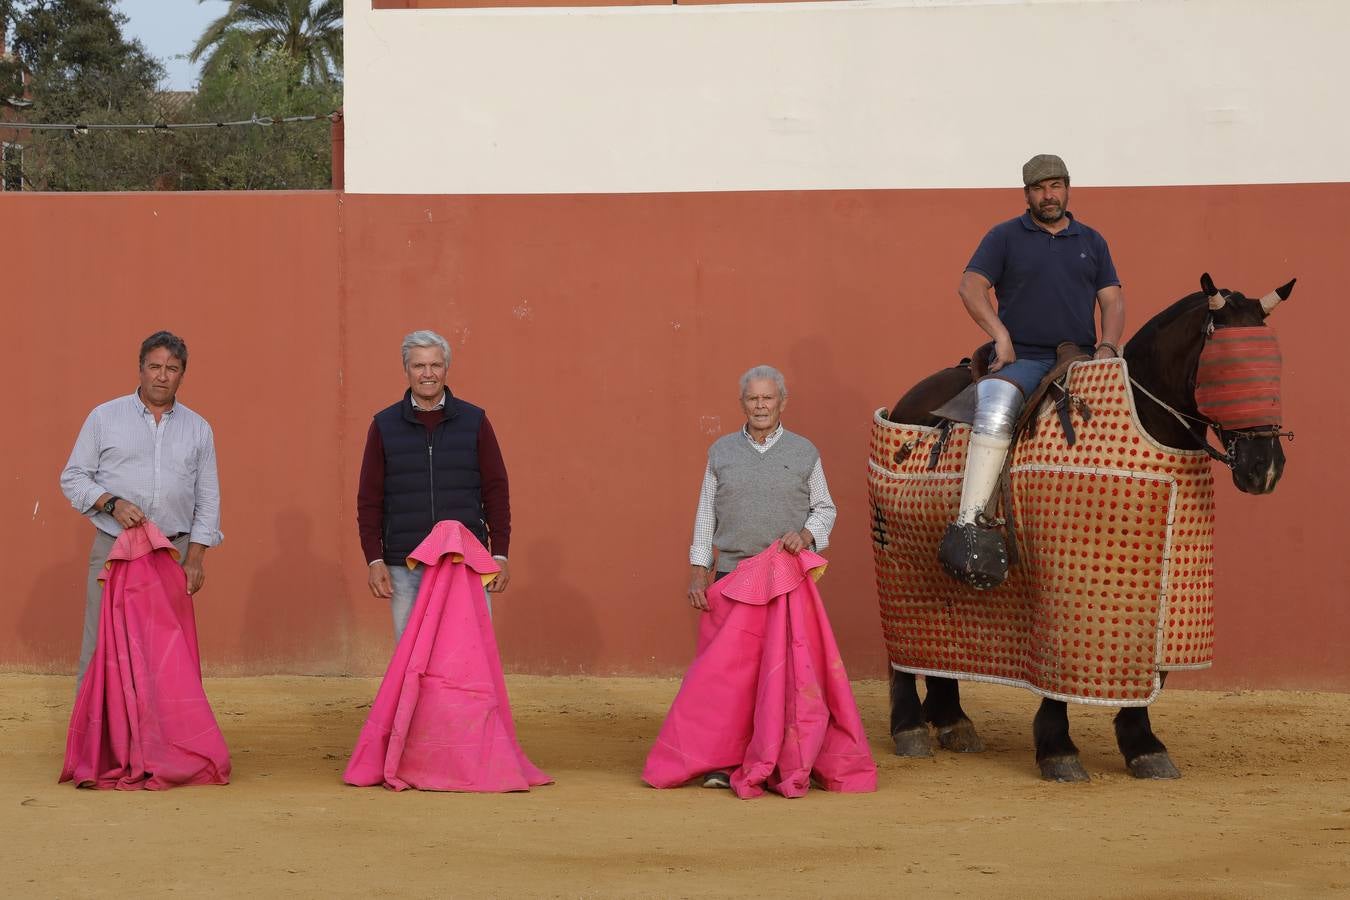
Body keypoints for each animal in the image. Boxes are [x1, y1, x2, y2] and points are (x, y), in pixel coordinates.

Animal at [880, 272, 1290, 782]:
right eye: (1226, 372)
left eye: (1274, 370)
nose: (1265, 468)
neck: (1145, 417)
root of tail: (906, 403)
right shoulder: (1063, 584)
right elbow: (1057, 666)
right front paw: (1058, 748)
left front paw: (1143, 745)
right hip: (899, 560)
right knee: (899, 647)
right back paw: (909, 727)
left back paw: (953, 720)